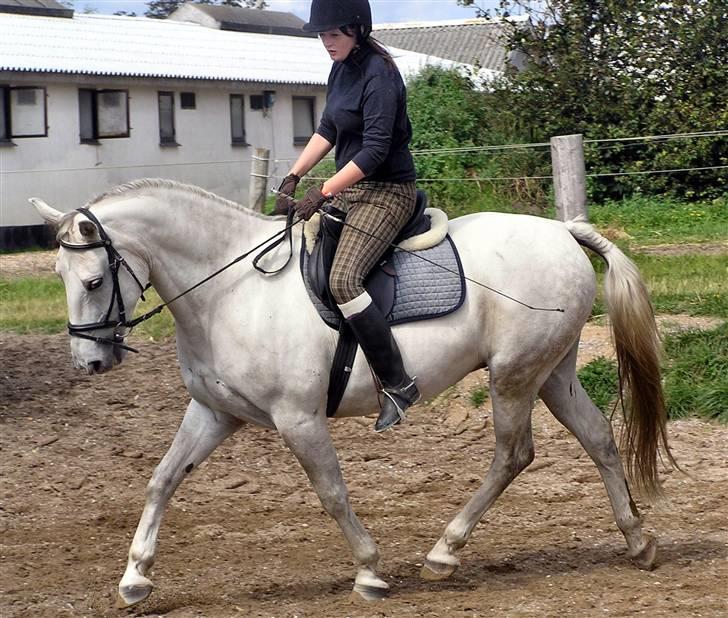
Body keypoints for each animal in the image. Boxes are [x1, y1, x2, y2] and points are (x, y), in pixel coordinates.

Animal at [31, 179, 672, 608]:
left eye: (94, 280)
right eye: (59, 278)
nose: (90, 362)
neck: (228, 290)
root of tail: (561, 230)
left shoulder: (298, 418)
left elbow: (332, 492)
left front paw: (369, 571)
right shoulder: (213, 412)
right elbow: (162, 479)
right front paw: (135, 577)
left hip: (512, 375)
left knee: (513, 454)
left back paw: (445, 551)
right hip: (552, 373)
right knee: (598, 437)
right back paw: (638, 541)